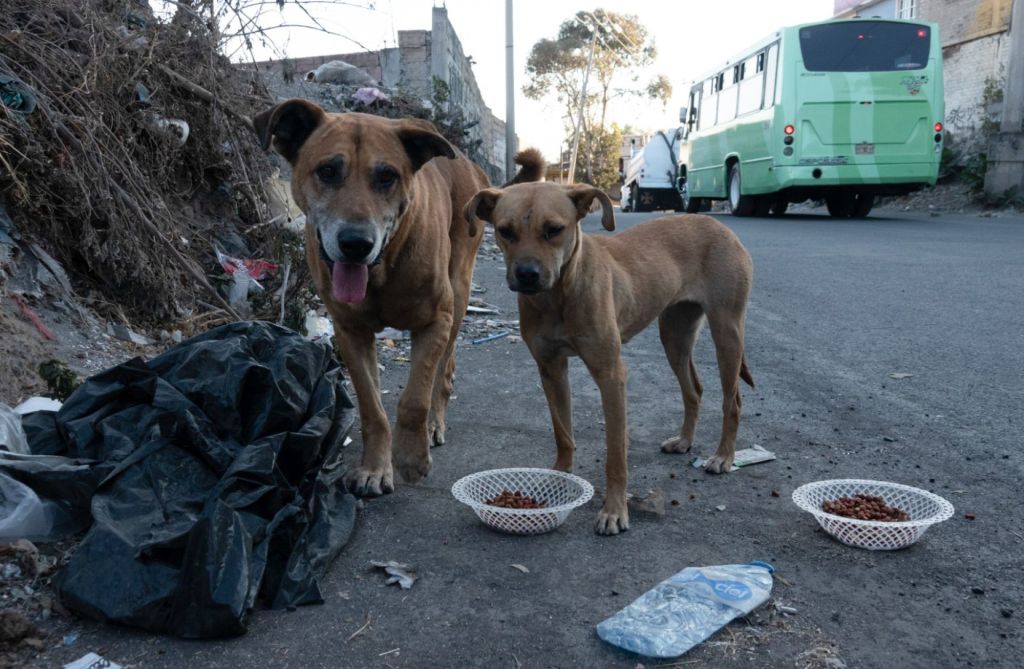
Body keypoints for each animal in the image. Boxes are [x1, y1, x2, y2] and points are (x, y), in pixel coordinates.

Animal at [254, 99, 544, 495]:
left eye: (387, 176)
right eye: (327, 171)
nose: (356, 244)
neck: (382, 269)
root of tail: (470, 166)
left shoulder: (436, 320)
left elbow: (415, 399)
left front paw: (410, 458)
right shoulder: (350, 332)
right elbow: (371, 407)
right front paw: (375, 468)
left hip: (458, 289)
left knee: (442, 370)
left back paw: (435, 422)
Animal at [464, 181, 753, 532]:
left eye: (554, 230)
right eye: (505, 231)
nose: (527, 275)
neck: (559, 295)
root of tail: (717, 224)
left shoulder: (610, 375)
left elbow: (616, 454)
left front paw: (615, 511)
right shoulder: (551, 369)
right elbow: (563, 433)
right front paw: (558, 480)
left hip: (727, 332)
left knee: (732, 400)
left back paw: (723, 457)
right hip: (675, 335)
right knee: (693, 390)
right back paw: (684, 441)